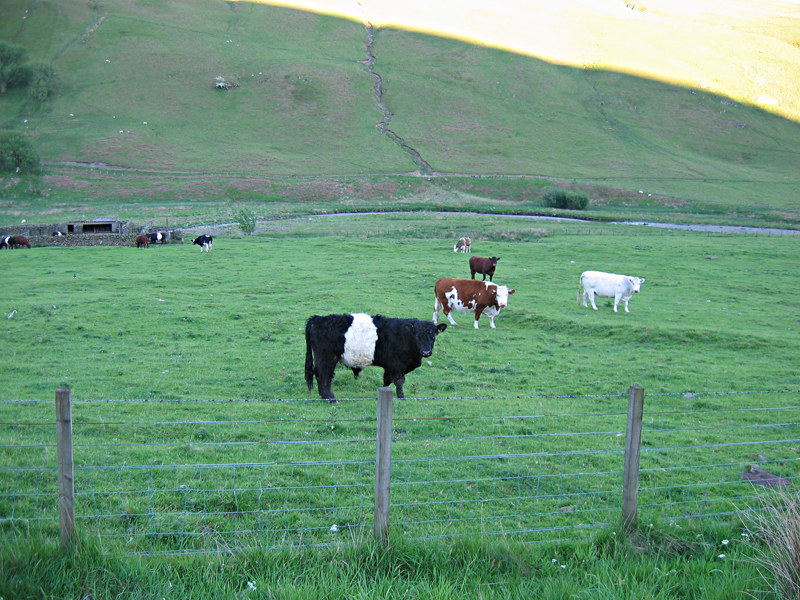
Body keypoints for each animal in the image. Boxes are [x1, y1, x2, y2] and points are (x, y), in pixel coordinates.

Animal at [304, 314, 446, 404]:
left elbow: (387, 381)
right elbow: (399, 381)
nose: (426, 352)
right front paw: (402, 398)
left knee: (318, 374)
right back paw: (331, 399)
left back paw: (323, 397)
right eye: (417, 336)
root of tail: (318, 319)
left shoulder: (390, 366)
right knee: (324, 376)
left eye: (433, 336)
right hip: (327, 358)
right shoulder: (397, 365)